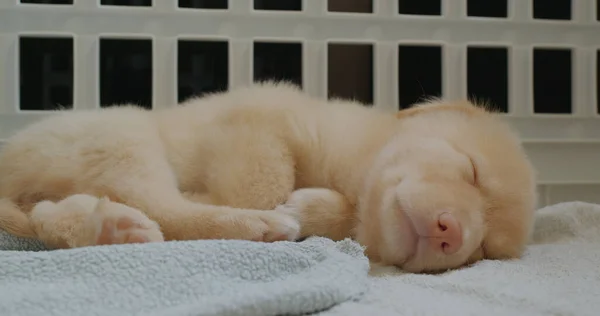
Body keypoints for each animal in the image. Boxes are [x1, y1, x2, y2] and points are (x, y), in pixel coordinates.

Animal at [0, 82, 536, 272]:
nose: (452, 233)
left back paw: (107, 227)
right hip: (122, 134)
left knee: (50, 217)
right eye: (472, 170)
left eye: (485, 250)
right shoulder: (259, 115)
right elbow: (262, 182)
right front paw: (276, 208)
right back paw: (256, 225)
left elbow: (334, 213)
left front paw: (313, 209)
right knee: (162, 205)